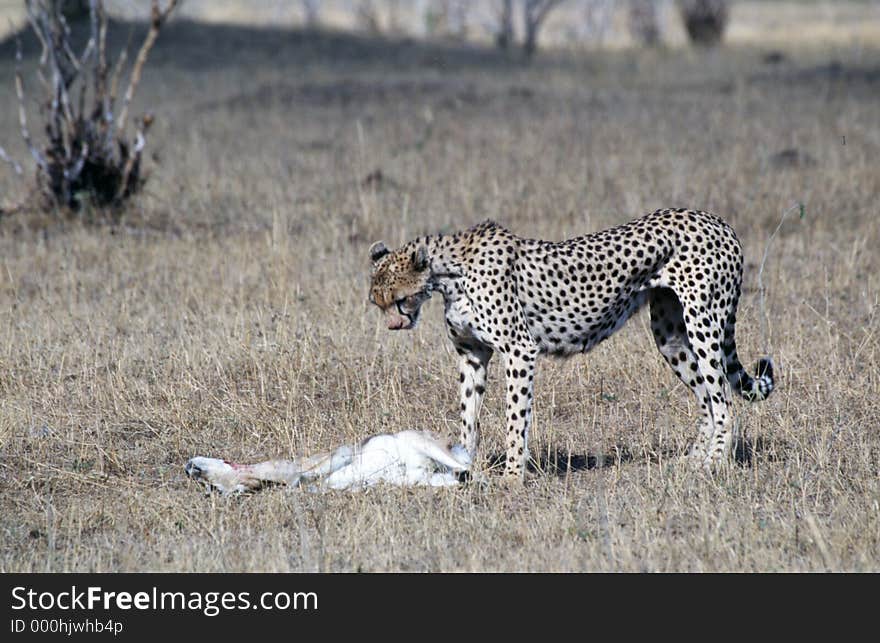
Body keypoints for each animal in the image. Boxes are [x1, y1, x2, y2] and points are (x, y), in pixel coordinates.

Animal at [368, 211, 772, 484]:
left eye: (399, 300)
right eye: (377, 302)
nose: (393, 325)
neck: (449, 274)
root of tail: (717, 220)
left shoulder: (519, 348)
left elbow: (515, 417)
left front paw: (512, 476)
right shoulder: (472, 355)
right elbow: (468, 416)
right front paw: (463, 466)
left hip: (703, 322)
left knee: (724, 400)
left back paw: (714, 464)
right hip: (670, 335)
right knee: (707, 399)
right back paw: (693, 461)